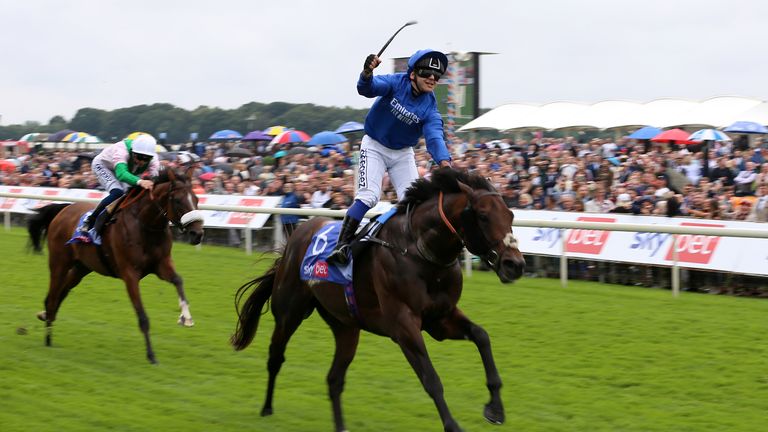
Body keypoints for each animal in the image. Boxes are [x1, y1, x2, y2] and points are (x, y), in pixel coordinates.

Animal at [28, 167, 206, 362]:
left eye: (196, 199)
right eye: (178, 200)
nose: (197, 234)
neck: (145, 224)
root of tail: (64, 208)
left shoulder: (161, 265)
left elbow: (178, 280)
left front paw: (186, 317)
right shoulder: (130, 274)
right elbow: (143, 317)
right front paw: (151, 356)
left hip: (81, 268)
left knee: (62, 293)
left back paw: (46, 319)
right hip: (59, 263)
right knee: (52, 297)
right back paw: (47, 338)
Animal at [231, 168, 524, 432]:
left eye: (511, 214)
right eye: (483, 216)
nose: (515, 265)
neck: (420, 250)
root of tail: (297, 236)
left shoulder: (441, 318)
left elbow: (481, 336)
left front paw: (495, 409)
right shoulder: (404, 326)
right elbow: (431, 379)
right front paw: (453, 426)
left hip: (346, 326)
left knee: (334, 379)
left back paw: (341, 427)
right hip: (289, 313)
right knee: (275, 357)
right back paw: (266, 409)